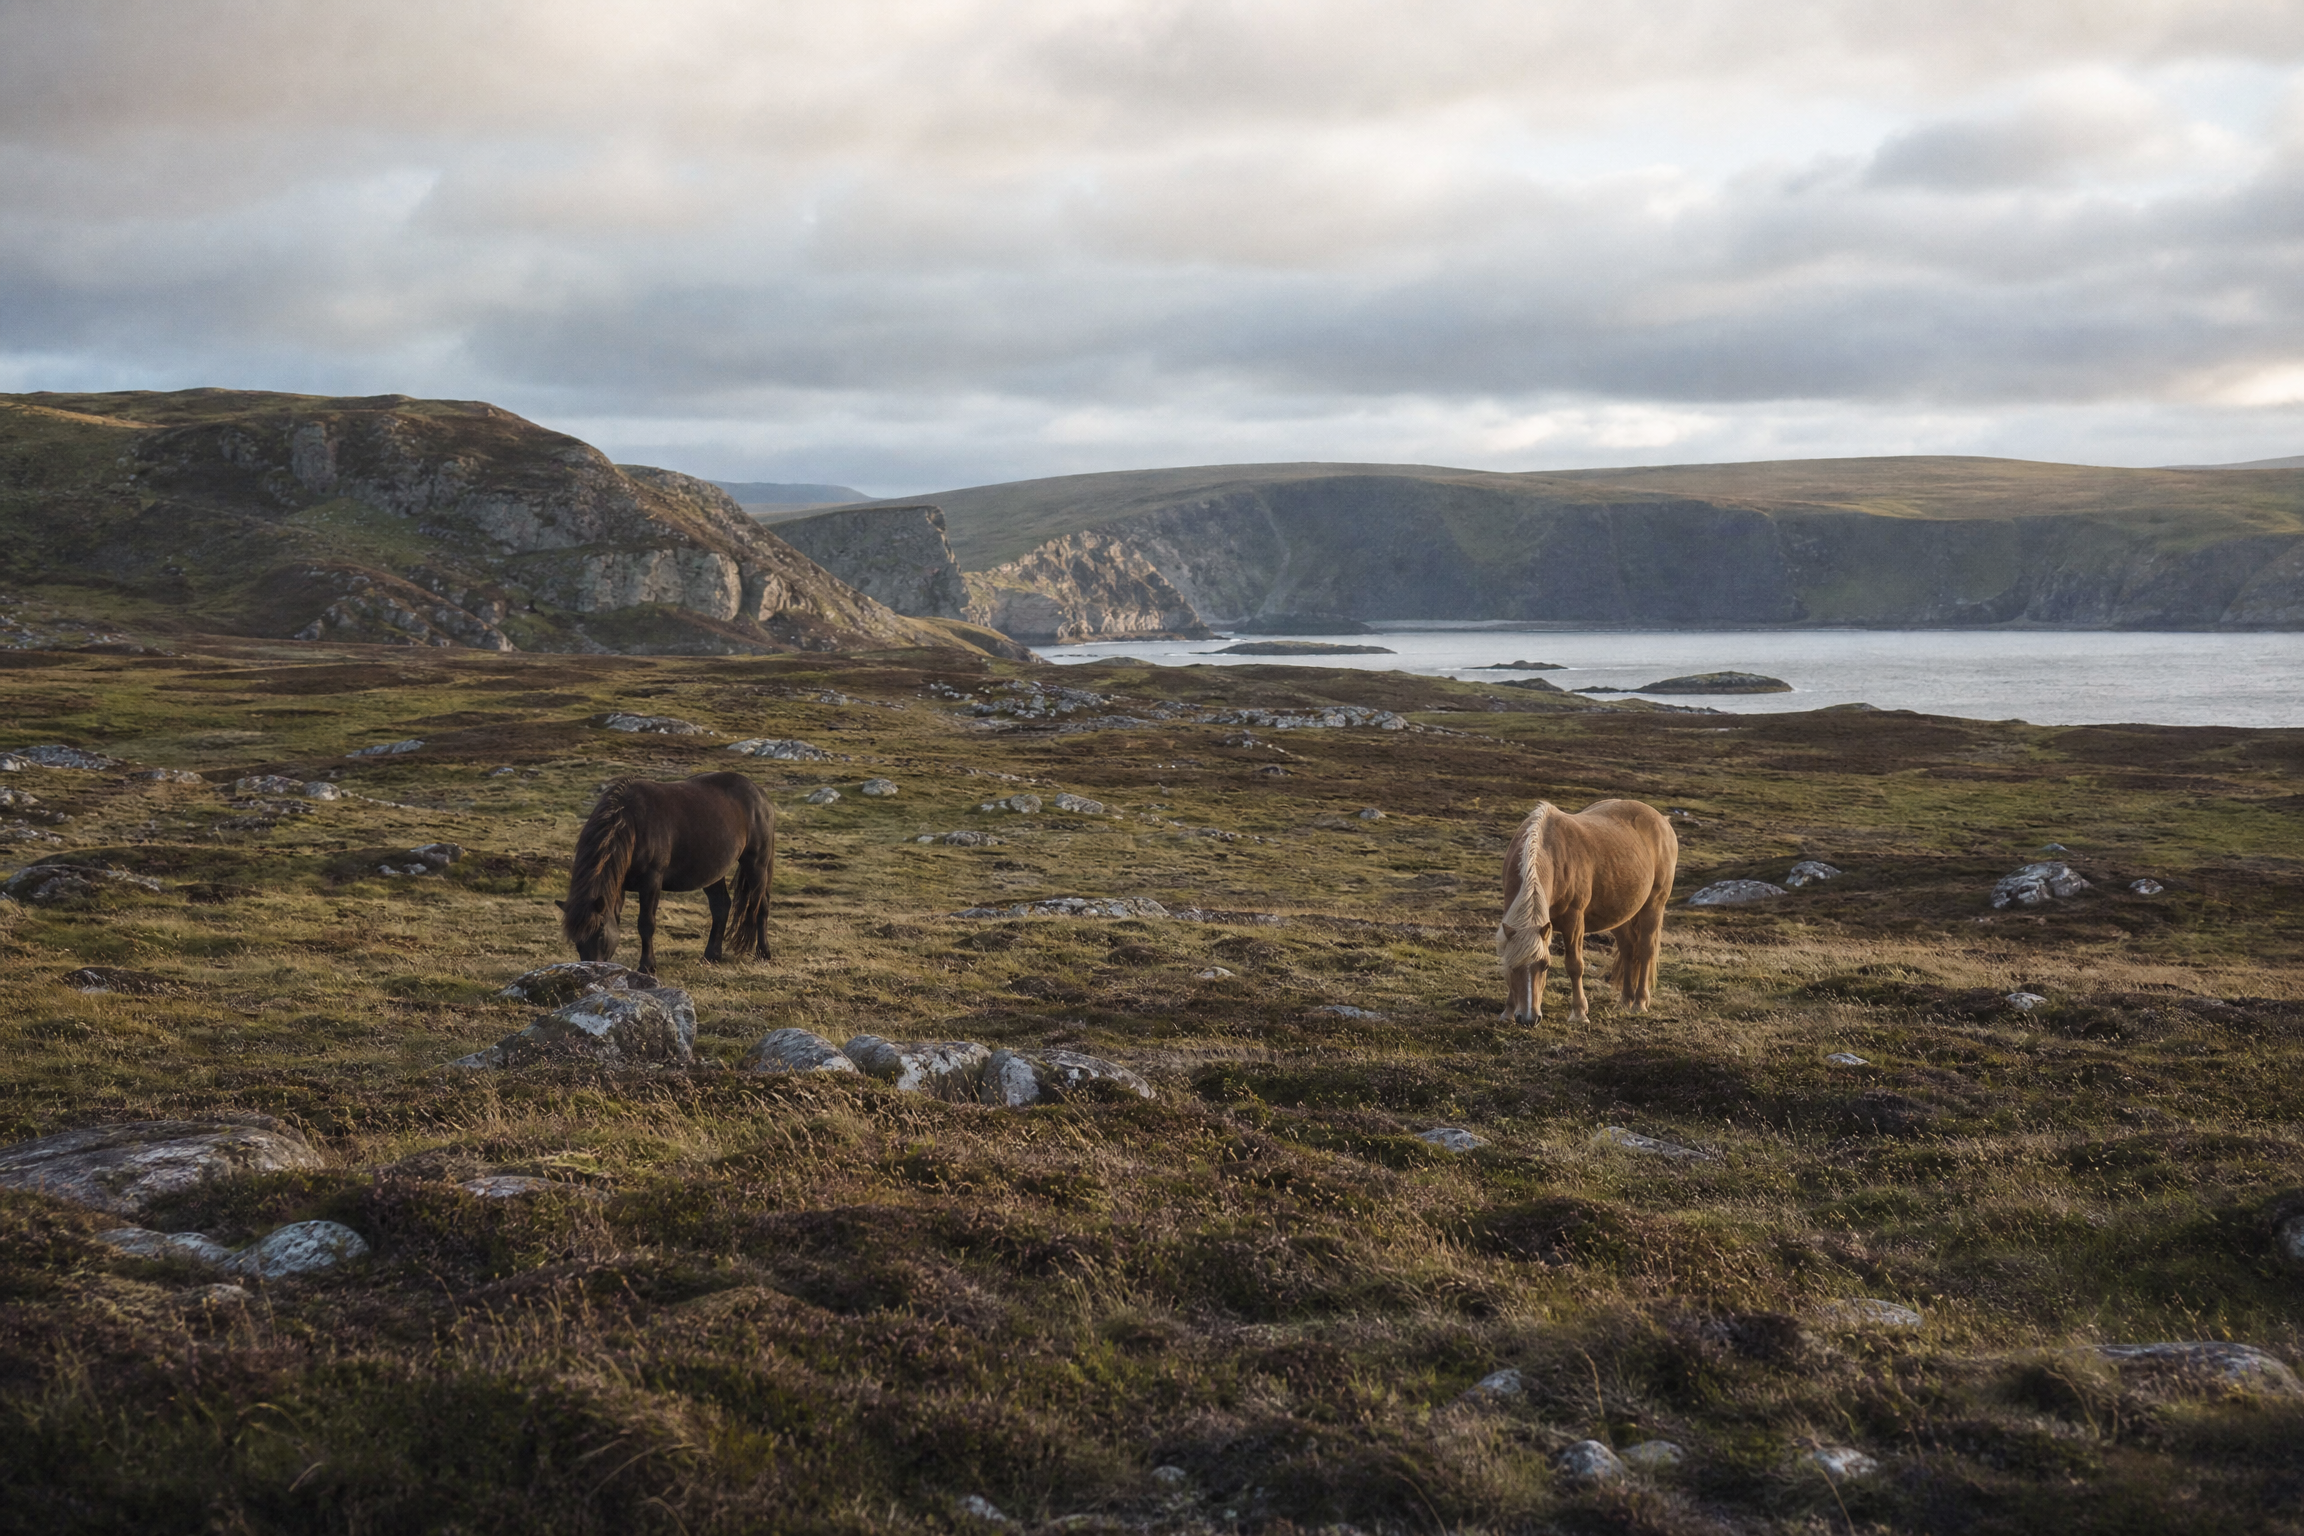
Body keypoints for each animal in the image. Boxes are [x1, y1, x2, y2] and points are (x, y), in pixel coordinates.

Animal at [561, 771, 775, 974]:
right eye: (575, 938)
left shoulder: (651, 881)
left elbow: (646, 924)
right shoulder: (618, 885)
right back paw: (711, 956)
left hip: (756, 865)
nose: (590, 967)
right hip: (713, 873)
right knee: (721, 906)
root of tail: (760, 794)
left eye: (600, 931)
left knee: (761, 906)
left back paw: (763, 954)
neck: (631, 823)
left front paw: (647, 966)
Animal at [1495, 798, 1677, 1026]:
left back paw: (1639, 1003)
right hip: (1619, 916)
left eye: (1545, 966)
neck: (1550, 851)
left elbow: (1575, 965)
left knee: (1645, 950)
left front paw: (1580, 1013)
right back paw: (1625, 1001)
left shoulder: (1574, 922)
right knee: (1628, 949)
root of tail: (1662, 820)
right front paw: (1508, 1012)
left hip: (1653, 906)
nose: (1529, 1019)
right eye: (1513, 968)